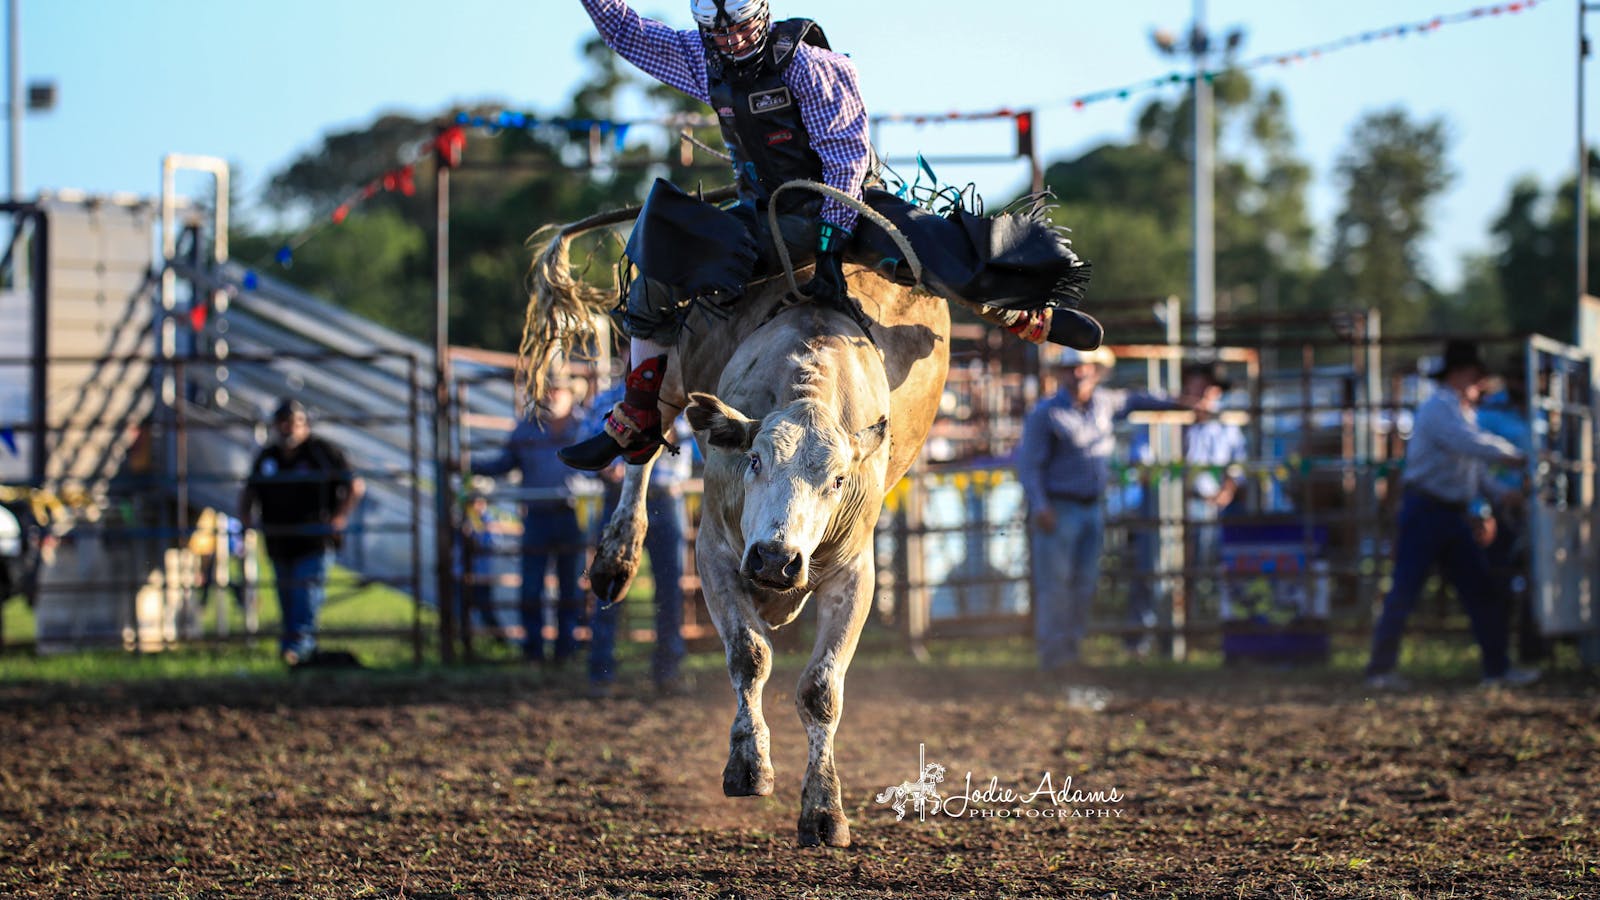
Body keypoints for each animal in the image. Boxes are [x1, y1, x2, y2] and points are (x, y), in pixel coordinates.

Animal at [521, 199, 947, 845]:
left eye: (839, 480)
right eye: (754, 460)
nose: (775, 559)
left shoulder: (856, 572)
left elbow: (821, 689)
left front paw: (824, 809)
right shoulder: (717, 553)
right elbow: (749, 655)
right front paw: (749, 766)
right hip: (670, 359)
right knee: (645, 437)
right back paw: (616, 555)